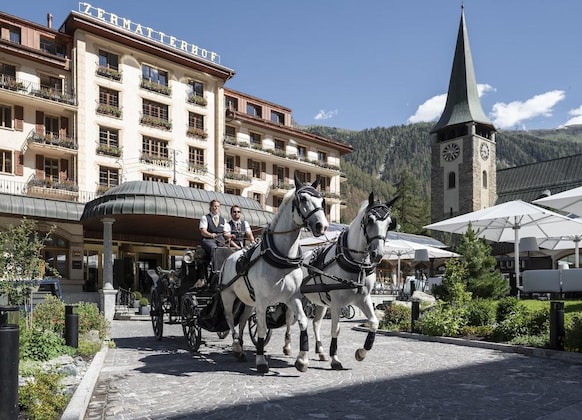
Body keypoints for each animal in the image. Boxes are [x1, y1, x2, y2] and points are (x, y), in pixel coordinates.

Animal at [220, 176, 328, 372]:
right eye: (302, 199)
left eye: (322, 201)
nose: (321, 226)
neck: (282, 257)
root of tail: (229, 257)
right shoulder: (263, 302)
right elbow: (262, 328)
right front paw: (261, 361)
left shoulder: (292, 297)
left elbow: (302, 321)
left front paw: (302, 359)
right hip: (228, 295)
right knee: (230, 319)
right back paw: (237, 347)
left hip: (249, 302)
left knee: (242, 321)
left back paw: (240, 347)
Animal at [286, 192, 400, 370]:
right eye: (370, 220)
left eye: (389, 223)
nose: (378, 254)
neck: (356, 263)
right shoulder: (337, 303)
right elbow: (335, 329)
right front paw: (335, 359)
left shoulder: (363, 299)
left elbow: (374, 322)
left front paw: (361, 352)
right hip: (296, 298)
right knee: (290, 320)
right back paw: (288, 347)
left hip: (319, 302)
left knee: (316, 323)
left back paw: (320, 352)